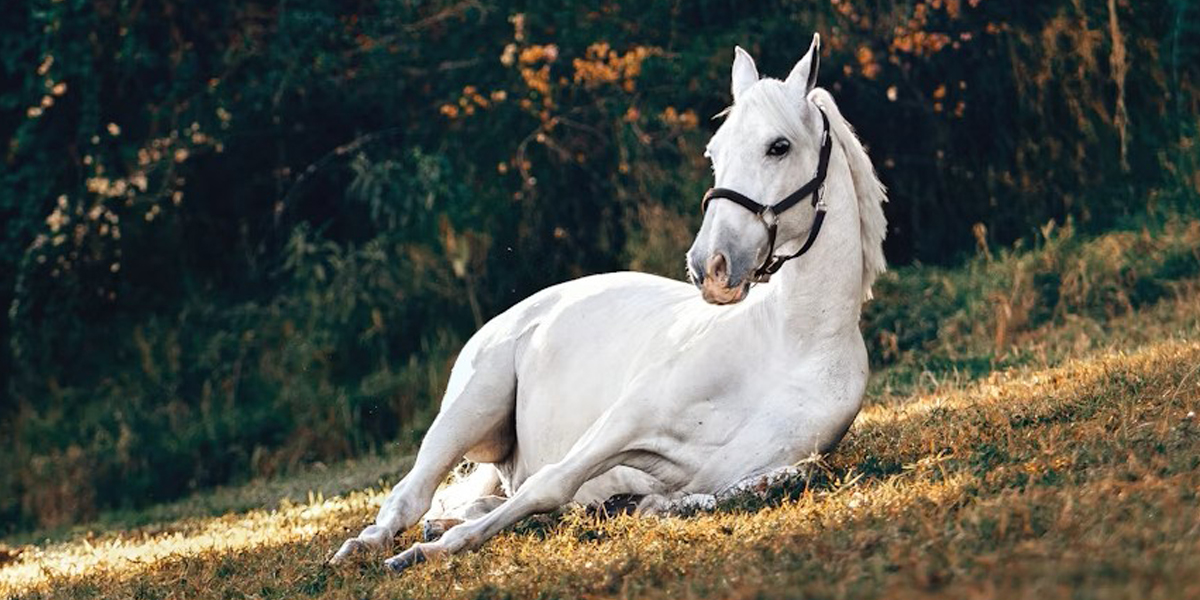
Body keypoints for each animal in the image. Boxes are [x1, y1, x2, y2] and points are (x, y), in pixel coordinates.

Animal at [330, 32, 888, 572]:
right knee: (410, 495)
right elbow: (550, 483)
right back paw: (367, 546)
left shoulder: (755, 470)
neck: (790, 345)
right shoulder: (626, 421)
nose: (710, 266)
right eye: (714, 152)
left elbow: (746, 487)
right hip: (468, 411)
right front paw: (430, 553)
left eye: (779, 146)